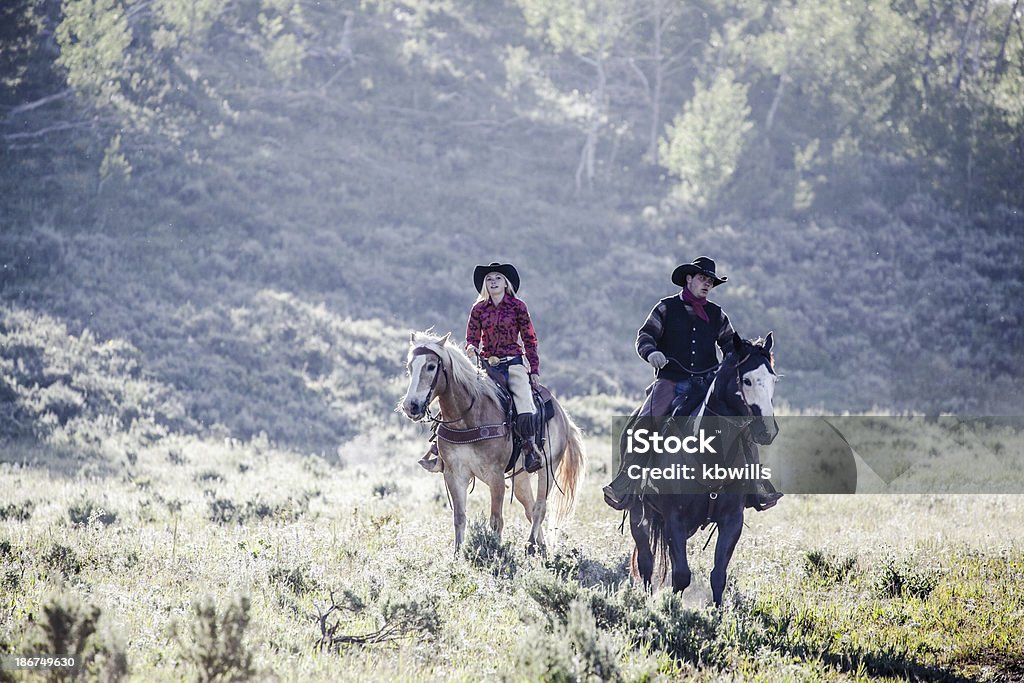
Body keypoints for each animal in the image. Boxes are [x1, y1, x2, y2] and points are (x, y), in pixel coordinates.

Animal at [399, 331, 585, 557]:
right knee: (530, 507)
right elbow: (459, 518)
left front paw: (495, 552)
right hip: (520, 477)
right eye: (410, 366)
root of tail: (563, 415)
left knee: (540, 507)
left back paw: (531, 545)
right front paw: (457, 556)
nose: (411, 406)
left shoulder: (495, 476)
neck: (468, 416)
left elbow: (496, 520)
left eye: (431, 366)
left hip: (548, 468)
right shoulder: (454, 474)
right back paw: (541, 549)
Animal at [626, 333, 778, 606]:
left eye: (773, 380)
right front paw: (671, 608)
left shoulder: (732, 520)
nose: (767, 431)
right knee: (646, 562)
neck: (711, 457)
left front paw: (717, 613)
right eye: (747, 380)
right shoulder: (674, 518)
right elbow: (681, 575)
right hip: (638, 514)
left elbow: (718, 575)